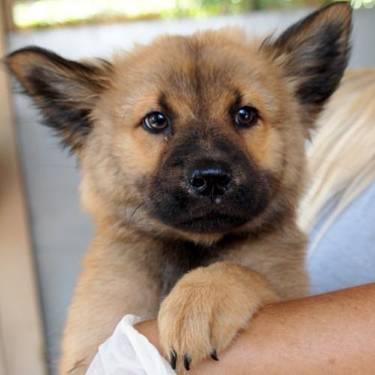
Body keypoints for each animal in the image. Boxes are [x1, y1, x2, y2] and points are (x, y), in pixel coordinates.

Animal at [5, 3, 352, 375]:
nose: (211, 178)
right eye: (156, 120)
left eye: (245, 114)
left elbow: (241, 270)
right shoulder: (87, 348)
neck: (191, 250)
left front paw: (201, 299)